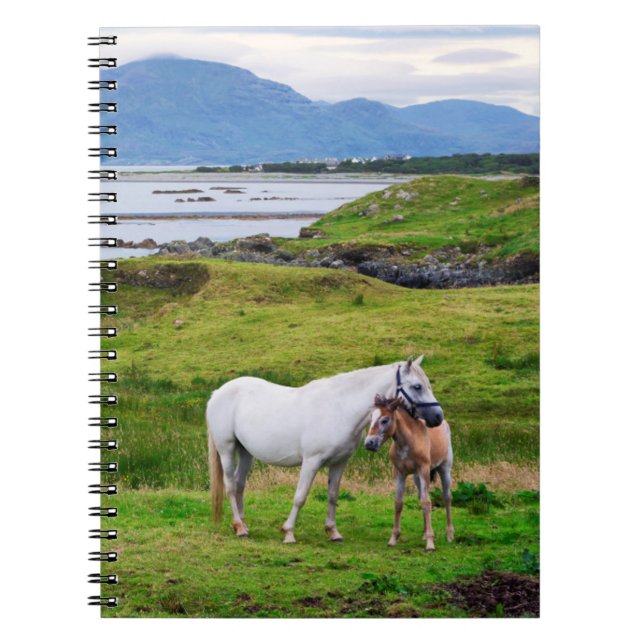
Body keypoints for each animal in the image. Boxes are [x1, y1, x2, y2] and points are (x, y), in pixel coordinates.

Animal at [206, 356, 443, 543]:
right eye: (417, 386)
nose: (438, 417)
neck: (340, 408)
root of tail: (217, 393)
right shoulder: (311, 462)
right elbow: (300, 496)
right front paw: (288, 532)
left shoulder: (339, 463)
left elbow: (332, 495)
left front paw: (333, 532)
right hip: (227, 449)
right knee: (230, 485)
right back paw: (239, 527)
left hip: (245, 452)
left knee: (239, 484)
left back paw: (242, 524)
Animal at [364, 395, 454, 551]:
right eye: (371, 417)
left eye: (385, 420)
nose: (369, 443)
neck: (407, 442)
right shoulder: (400, 473)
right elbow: (399, 502)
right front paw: (393, 538)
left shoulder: (424, 469)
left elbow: (427, 502)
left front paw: (430, 543)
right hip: (417, 477)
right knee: (421, 496)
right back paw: (424, 533)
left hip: (444, 469)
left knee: (446, 497)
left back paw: (449, 535)